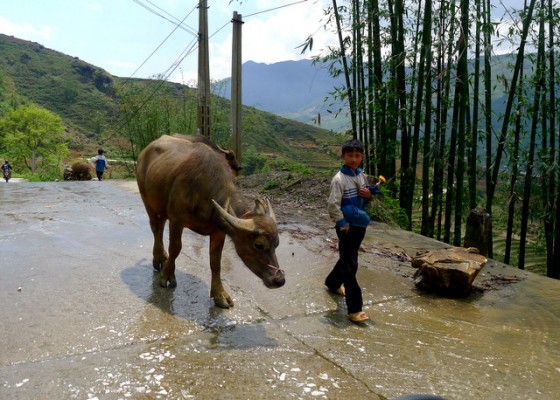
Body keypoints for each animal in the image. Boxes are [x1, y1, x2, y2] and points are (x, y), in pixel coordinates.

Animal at [135, 136, 284, 308]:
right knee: (155, 228)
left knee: (160, 226)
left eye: (277, 244)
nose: (279, 280)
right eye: (258, 245)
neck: (204, 191)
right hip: (147, 200)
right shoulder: (177, 220)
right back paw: (159, 258)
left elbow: (215, 261)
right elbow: (175, 249)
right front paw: (167, 276)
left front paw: (219, 294)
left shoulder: (219, 231)